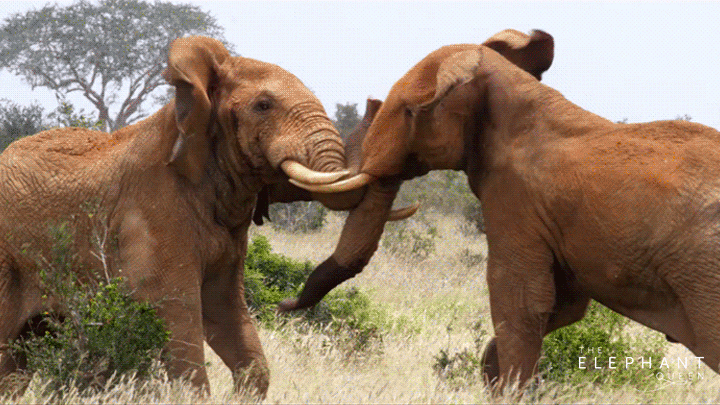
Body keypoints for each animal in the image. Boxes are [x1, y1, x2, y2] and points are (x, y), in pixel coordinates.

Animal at [281, 28, 720, 392]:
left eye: (408, 112)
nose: (281, 306)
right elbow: (561, 306)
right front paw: (495, 379)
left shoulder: (514, 201)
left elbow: (520, 301)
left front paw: (508, 388)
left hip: (704, 275)